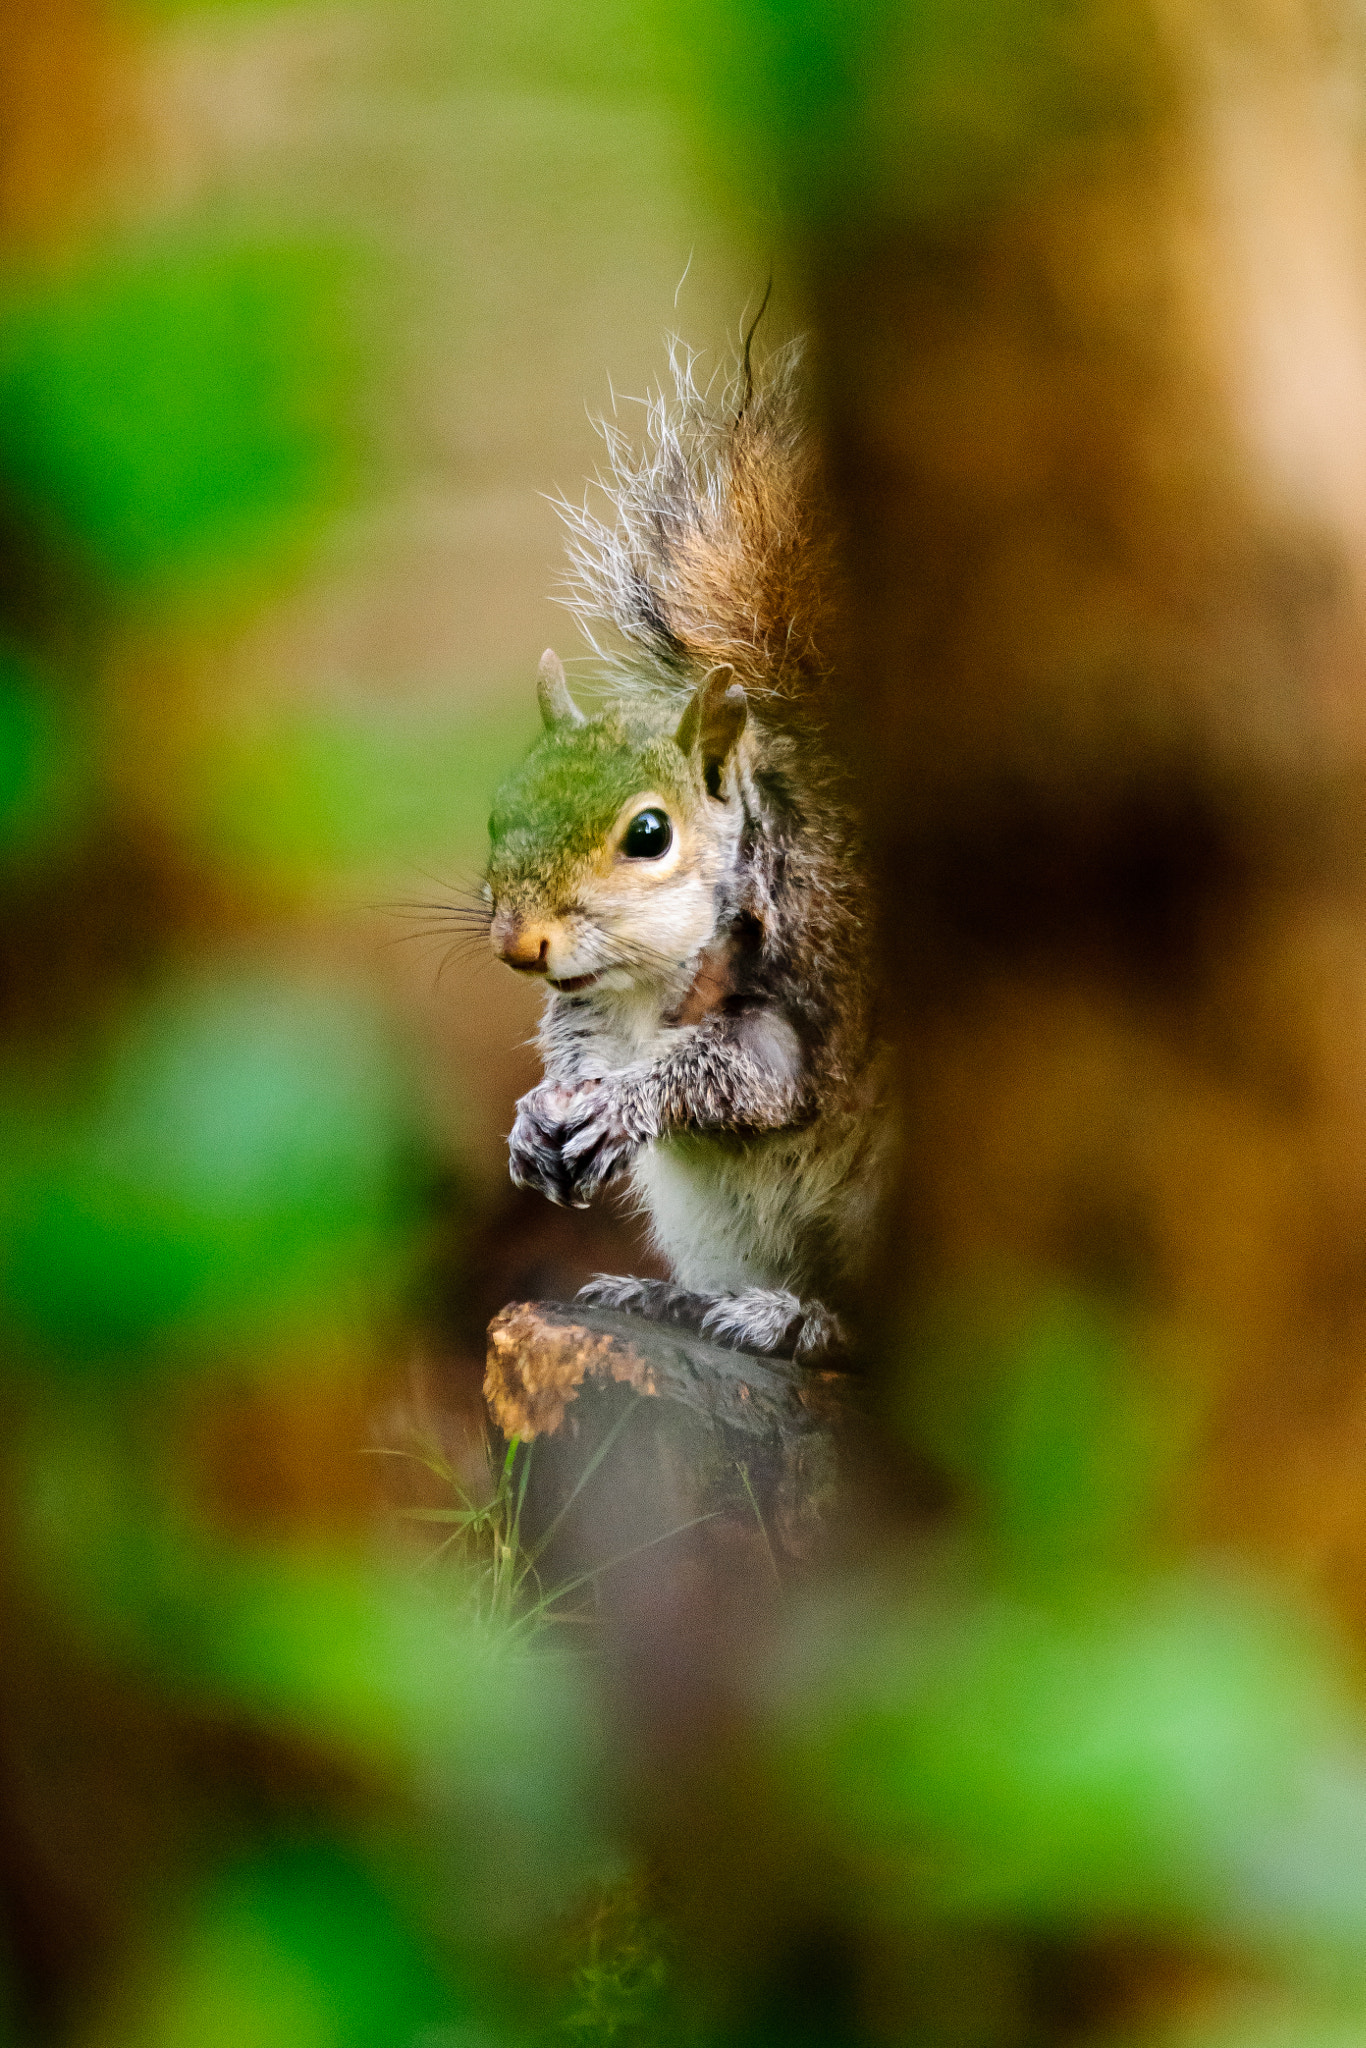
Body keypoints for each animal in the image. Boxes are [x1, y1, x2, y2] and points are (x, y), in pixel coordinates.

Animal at [482, 339, 887, 1362]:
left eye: (650, 835)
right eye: (501, 809)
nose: (519, 944)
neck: (645, 984)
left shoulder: (794, 1012)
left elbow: (738, 1075)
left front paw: (623, 1102)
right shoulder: (589, 1010)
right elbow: (572, 1050)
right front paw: (536, 1118)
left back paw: (798, 1318)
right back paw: (673, 1298)